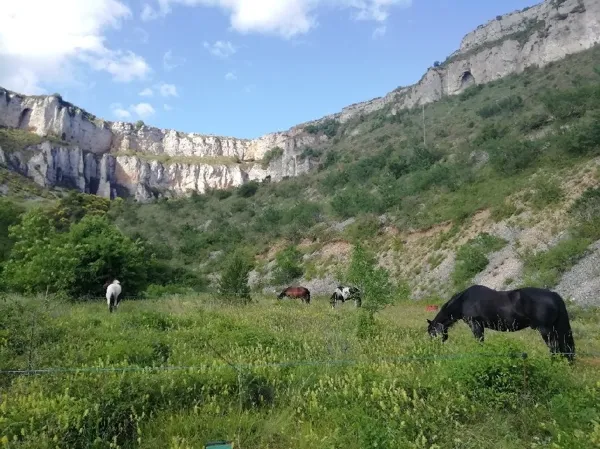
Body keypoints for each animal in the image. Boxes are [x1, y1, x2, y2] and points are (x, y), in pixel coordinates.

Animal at [426, 286, 576, 362]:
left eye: (431, 333)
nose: (434, 350)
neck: (463, 301)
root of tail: (554, 295)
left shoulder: (476, 325)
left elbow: (479, 342)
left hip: (546, 330)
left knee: (554, 349)